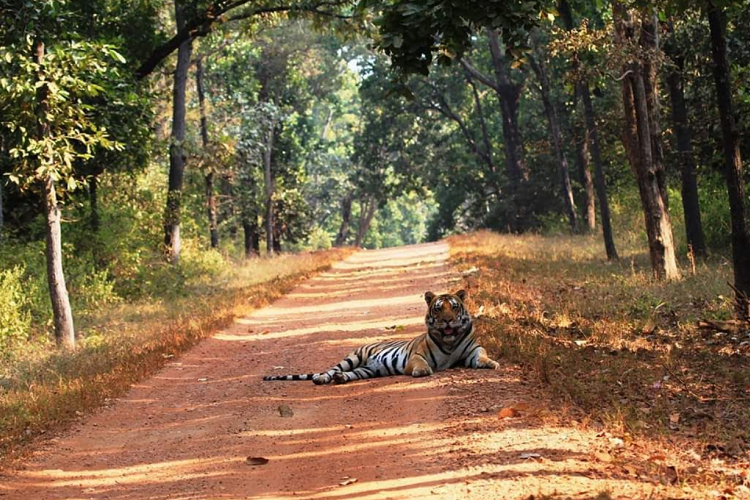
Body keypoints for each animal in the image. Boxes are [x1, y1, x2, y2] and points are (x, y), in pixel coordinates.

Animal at [262, 288, 502, 384]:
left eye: (454, 307)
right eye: (438, 309)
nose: (448, 321)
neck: (449, 342)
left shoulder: (472, 349)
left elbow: (481, 354)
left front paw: (491, 363)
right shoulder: (417, 354)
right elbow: (420, 362)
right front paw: (423, 371)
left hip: (366, 370)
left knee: (349, 374)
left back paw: (341, 379)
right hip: (353, 358)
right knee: (330, 370)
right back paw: (323, 378)